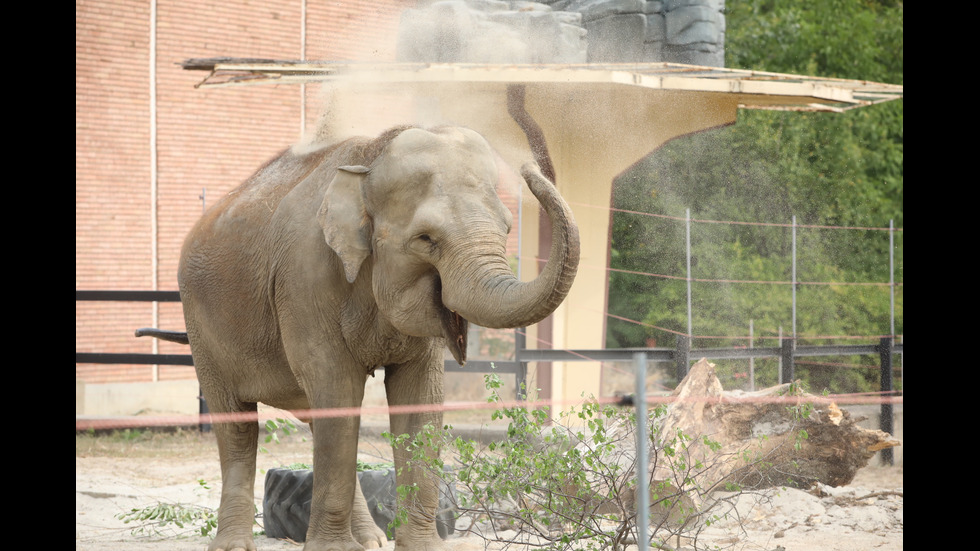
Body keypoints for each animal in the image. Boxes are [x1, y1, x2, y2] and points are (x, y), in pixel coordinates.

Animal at [142, 125, 580, 551]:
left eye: (507, 228)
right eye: (426, 239)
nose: (530, 166)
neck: (370, 160)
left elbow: (419, 397)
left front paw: (422, 547)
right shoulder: (303, 281)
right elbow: (337, 386)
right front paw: (332, 550)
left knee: (319, 421)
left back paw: (371, 541)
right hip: (202, 327)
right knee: (238, 426)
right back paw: (235, 546)